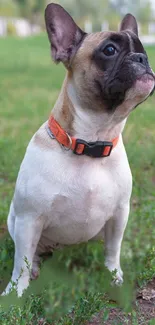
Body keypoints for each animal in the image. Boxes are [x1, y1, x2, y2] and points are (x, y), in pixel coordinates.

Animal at [2, 3, 155, 296]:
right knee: (30, 254)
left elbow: (113, 249)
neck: (91, 143)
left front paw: (115, 276)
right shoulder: (28, 219)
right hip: (15, 221)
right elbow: (21, 261)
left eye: (142, 47)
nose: (142, 58)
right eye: (109, 50)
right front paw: (15, 292)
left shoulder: (119, 214)